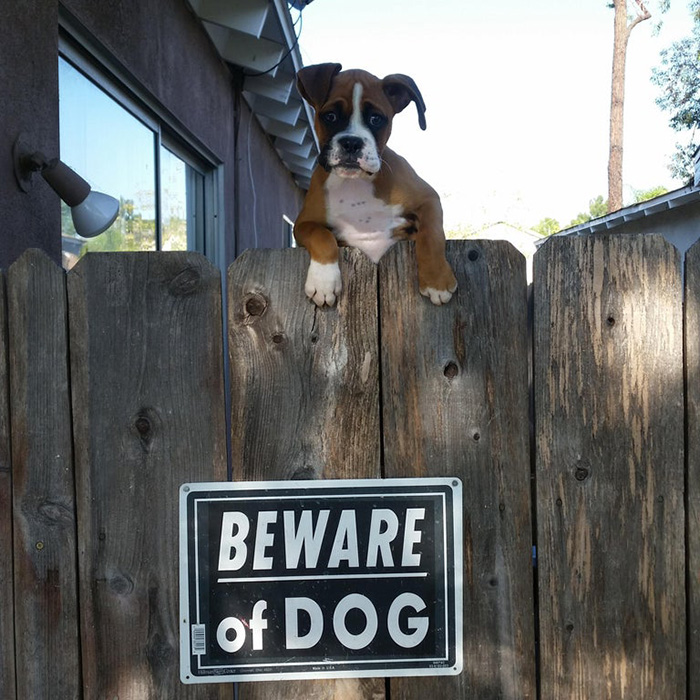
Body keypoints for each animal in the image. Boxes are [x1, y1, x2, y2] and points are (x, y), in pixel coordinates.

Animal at [292, 62, 456, 306]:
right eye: (330, 116)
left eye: (376, 119)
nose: (351, 142)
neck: (355, 182)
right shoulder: (303, 223)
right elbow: (320, 235)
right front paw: (323, 281)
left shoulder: (428, 198)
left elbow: (431, 233)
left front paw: (436, 280)